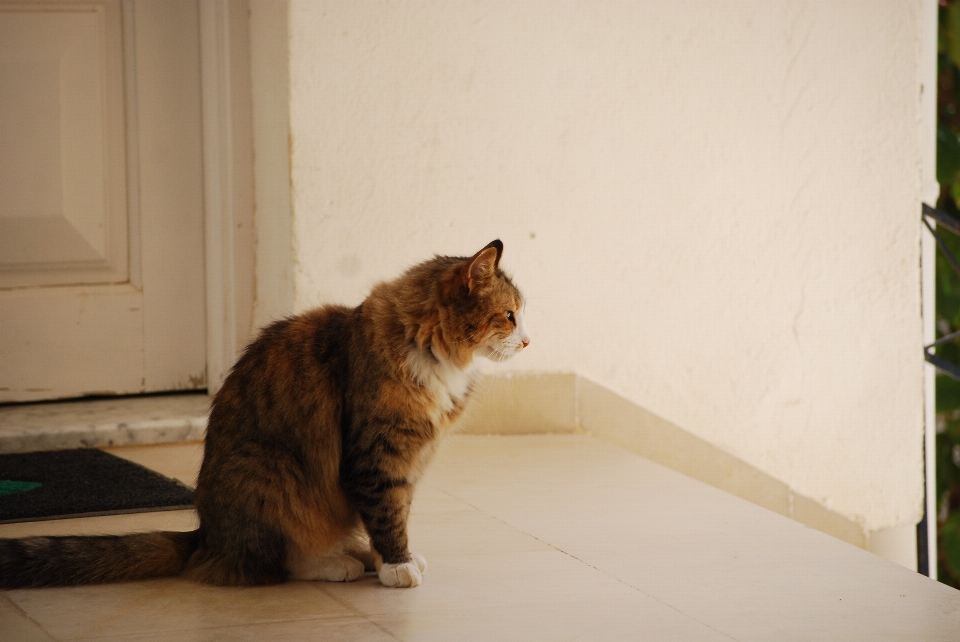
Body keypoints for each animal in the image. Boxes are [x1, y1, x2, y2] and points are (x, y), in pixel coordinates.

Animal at [0, 239, 528, 584]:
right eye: (509, 316)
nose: (527, 341)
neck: (428, 350)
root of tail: (206, 536)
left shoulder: (408, 460)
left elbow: (397, 512)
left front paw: (390, 560)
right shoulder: (377, 456)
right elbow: (386, 515)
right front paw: (397, 566)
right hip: (274, 474)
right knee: (279, 561)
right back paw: (336, 564)